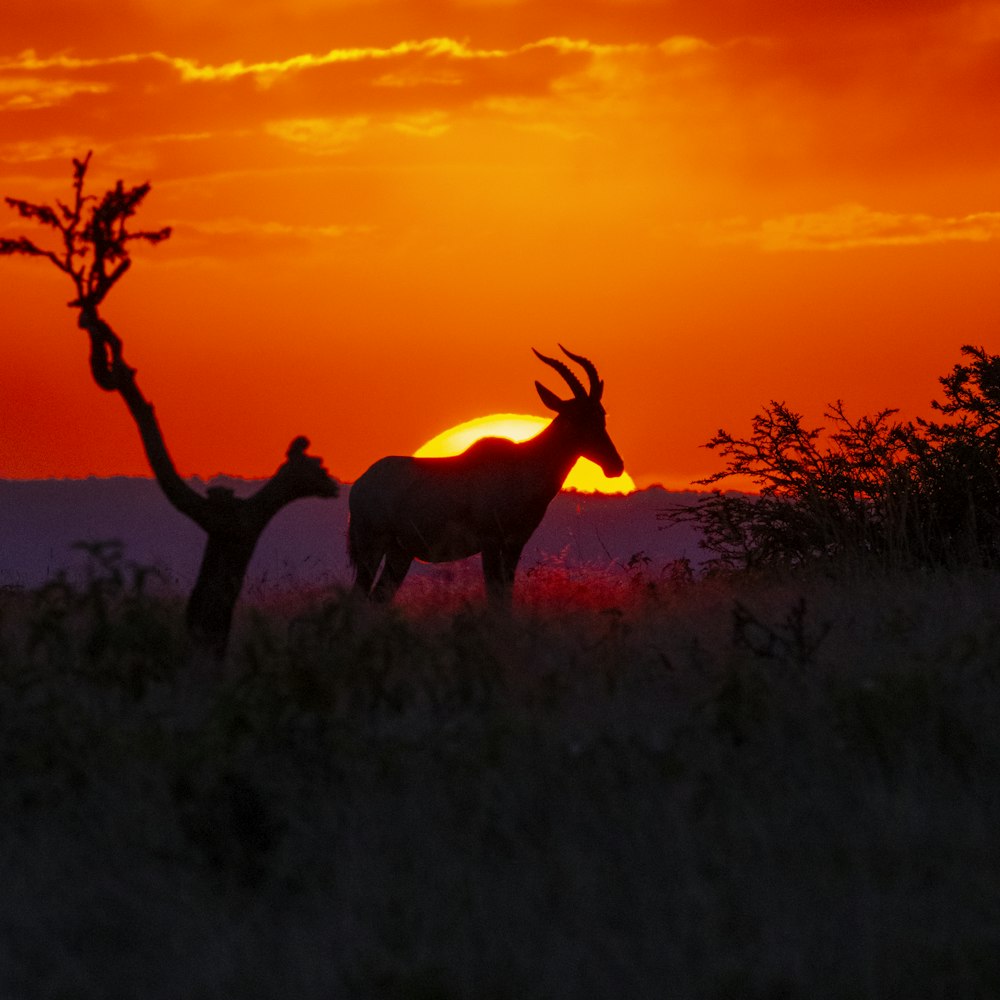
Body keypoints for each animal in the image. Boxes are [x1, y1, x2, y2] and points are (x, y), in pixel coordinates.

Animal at [348, 348, 620, 604]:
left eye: (601, 414)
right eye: (578, 417)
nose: (615, 466)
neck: (522, 465)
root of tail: (361, 484)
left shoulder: (515, 544)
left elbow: (506, 594)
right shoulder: (490, 542)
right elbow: (494, 594)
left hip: (400, 553)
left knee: (378, 597)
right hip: (371, 546)